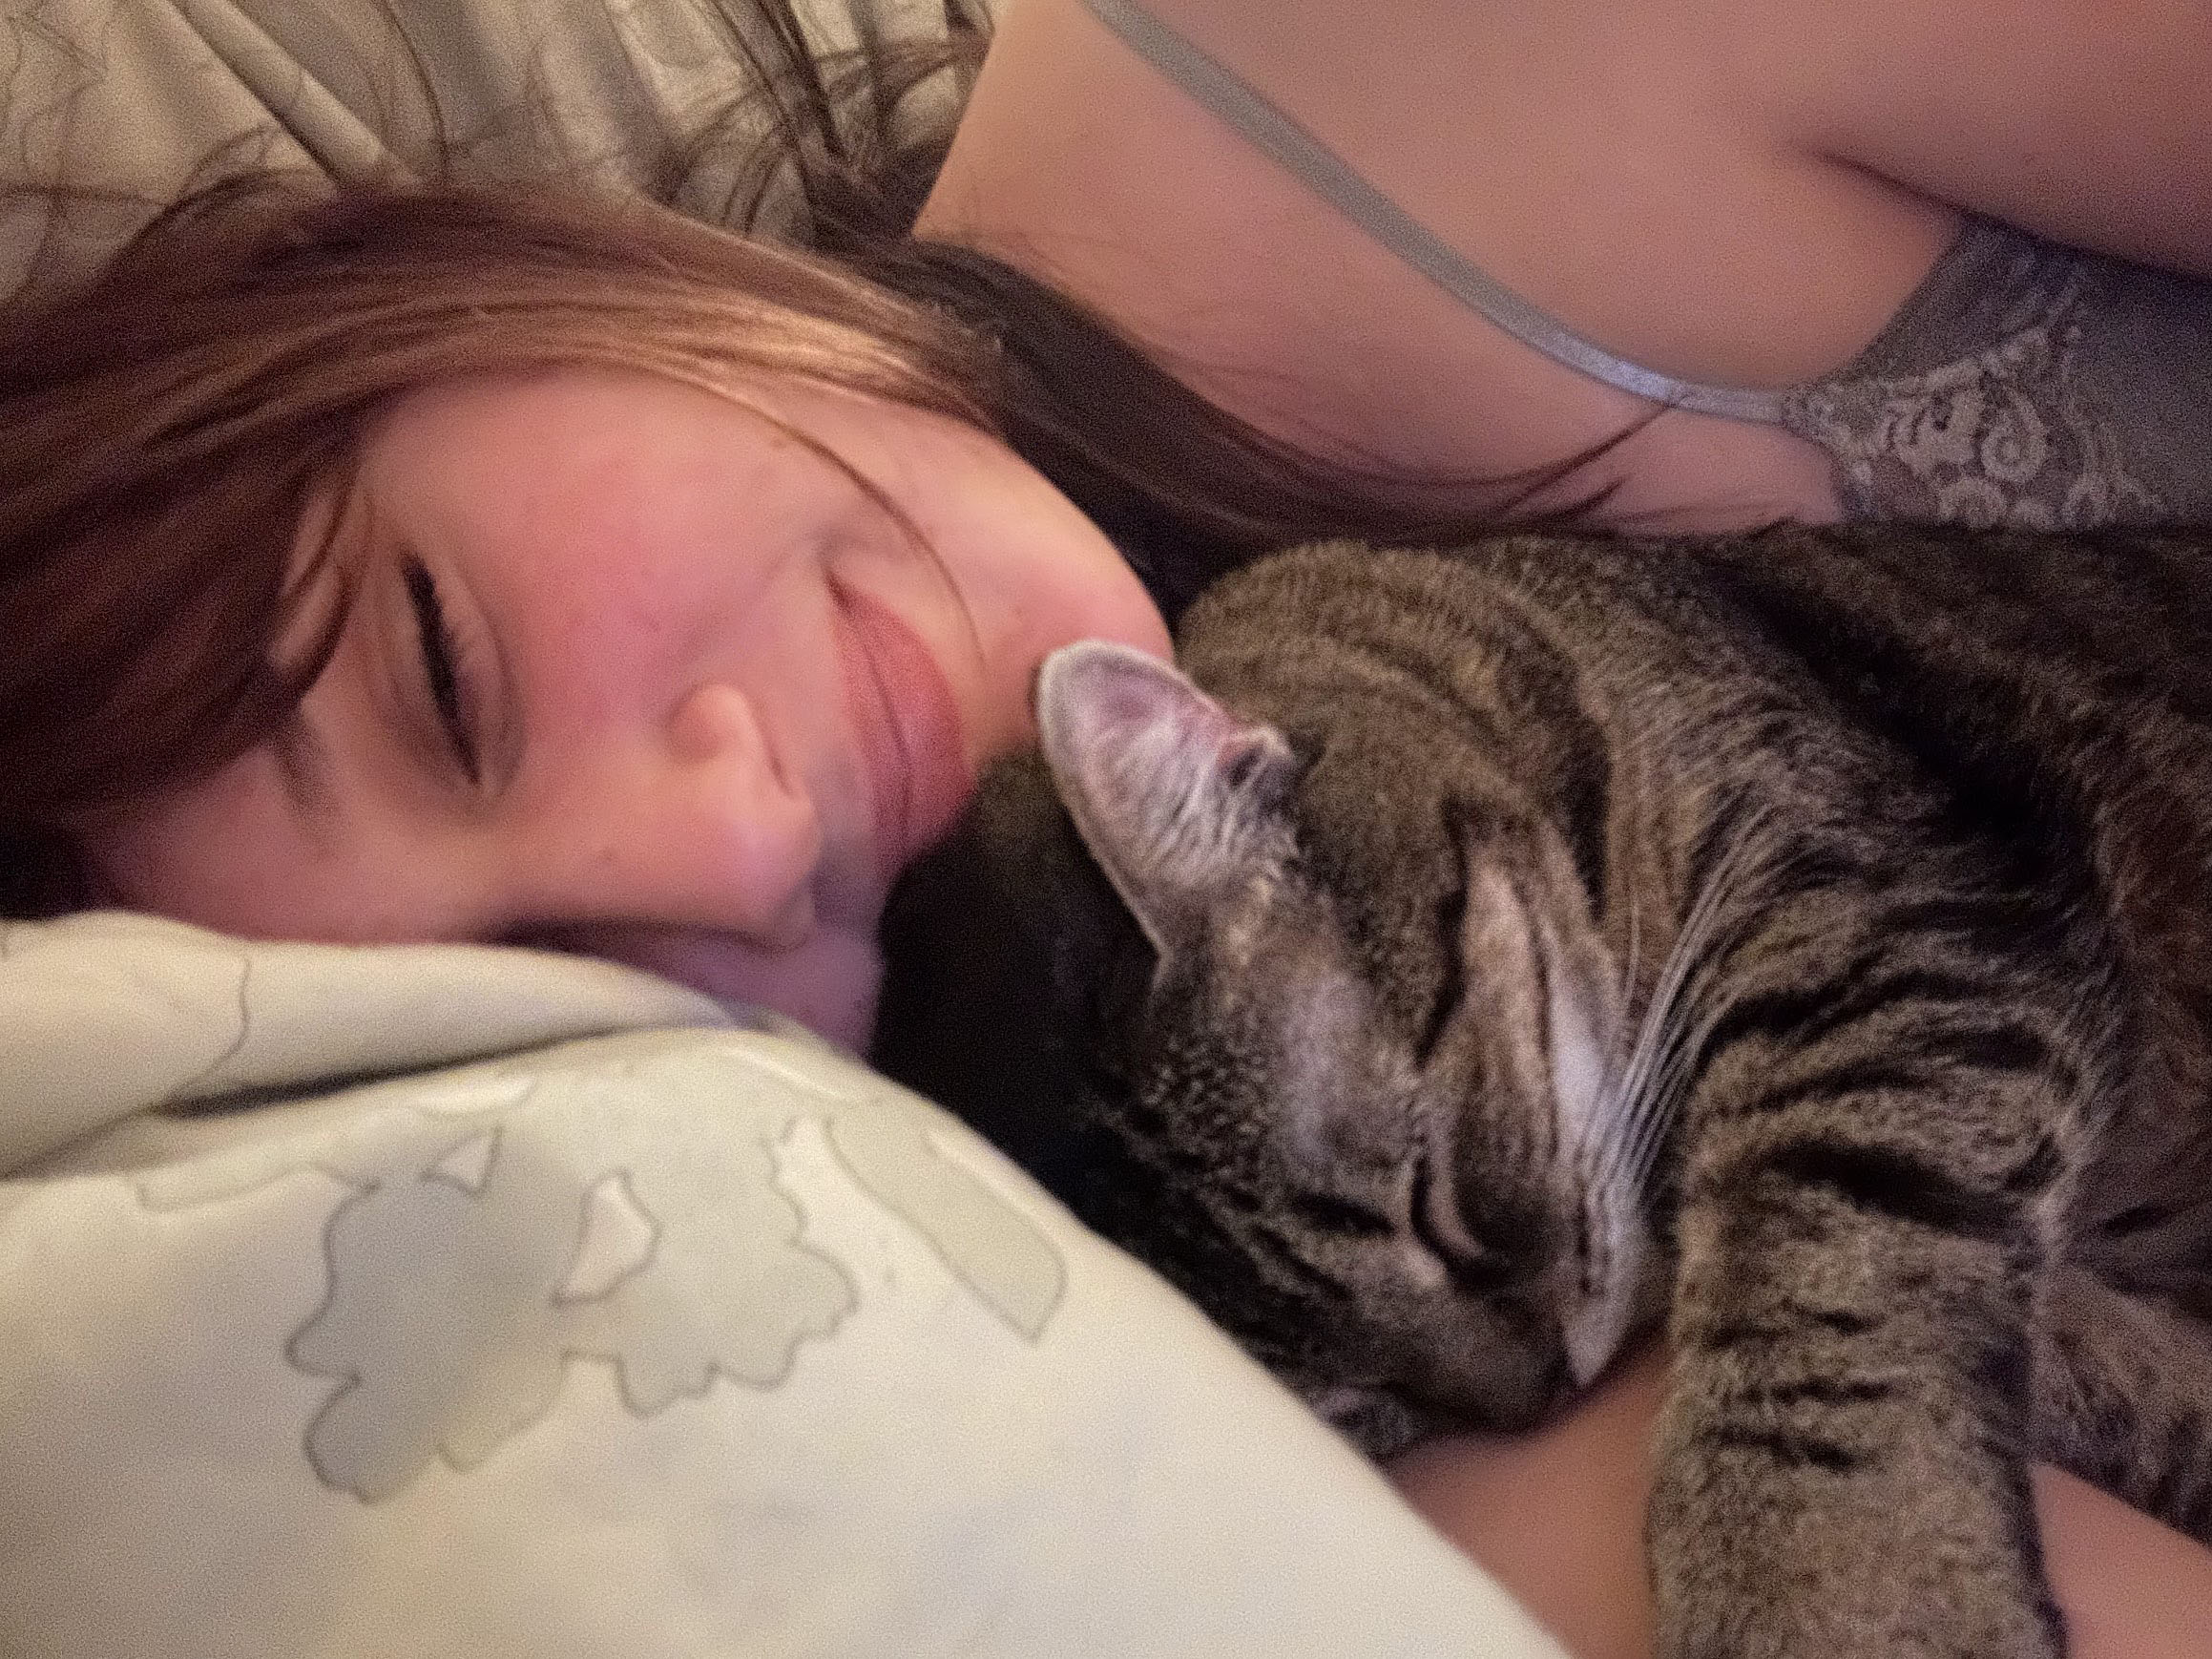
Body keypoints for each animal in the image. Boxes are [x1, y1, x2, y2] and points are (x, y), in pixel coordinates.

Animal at [871, 526, 2212, 1654]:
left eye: (1435, 1204)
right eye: (1345, 1399)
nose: (1534, 1399)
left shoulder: (1893, 922)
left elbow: (1820, 1317)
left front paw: (1839, 1597)